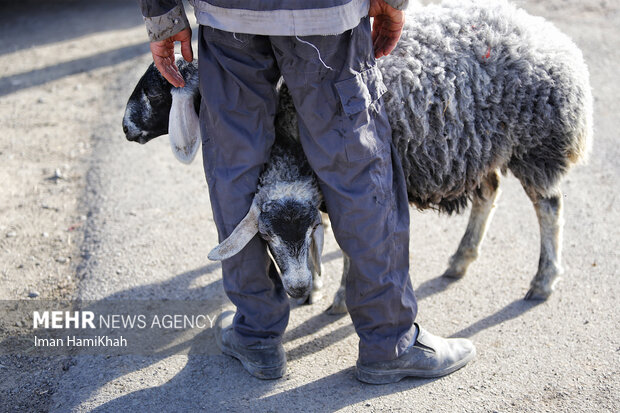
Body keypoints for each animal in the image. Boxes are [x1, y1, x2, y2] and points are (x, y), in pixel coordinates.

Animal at [123, 0, 592, 310]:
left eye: (157, 92)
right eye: (267, 239)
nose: (126, 127)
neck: (284, 126)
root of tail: (559, 43)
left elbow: (349, 243)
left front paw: (336, 297)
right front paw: (318, 284)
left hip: (536, 144)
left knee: (549, 206)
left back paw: (543, 280)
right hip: (477, 146)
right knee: (489, 191)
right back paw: (460, 260)